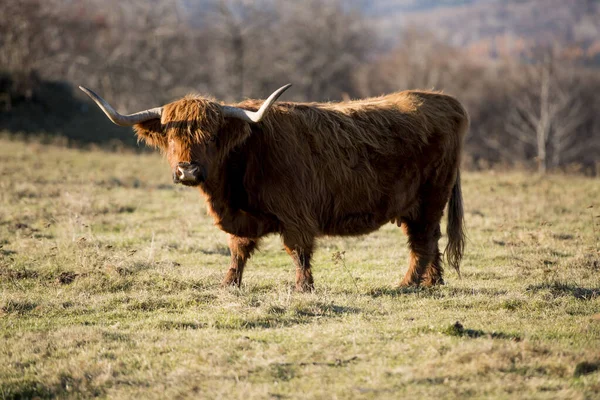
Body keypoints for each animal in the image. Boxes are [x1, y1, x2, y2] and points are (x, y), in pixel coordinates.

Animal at [78, 83, 468, 290]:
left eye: (213, 136)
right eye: (173, 136)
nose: (187, 171)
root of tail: (445, 100)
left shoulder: (296, 214)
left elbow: (298, 250)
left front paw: (303, 288)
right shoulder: (241, 220)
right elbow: (237, 250)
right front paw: (229, 284)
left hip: (431, 196)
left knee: (422, 241)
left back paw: (407, 283)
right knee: (429, 240)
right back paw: (433, 283)